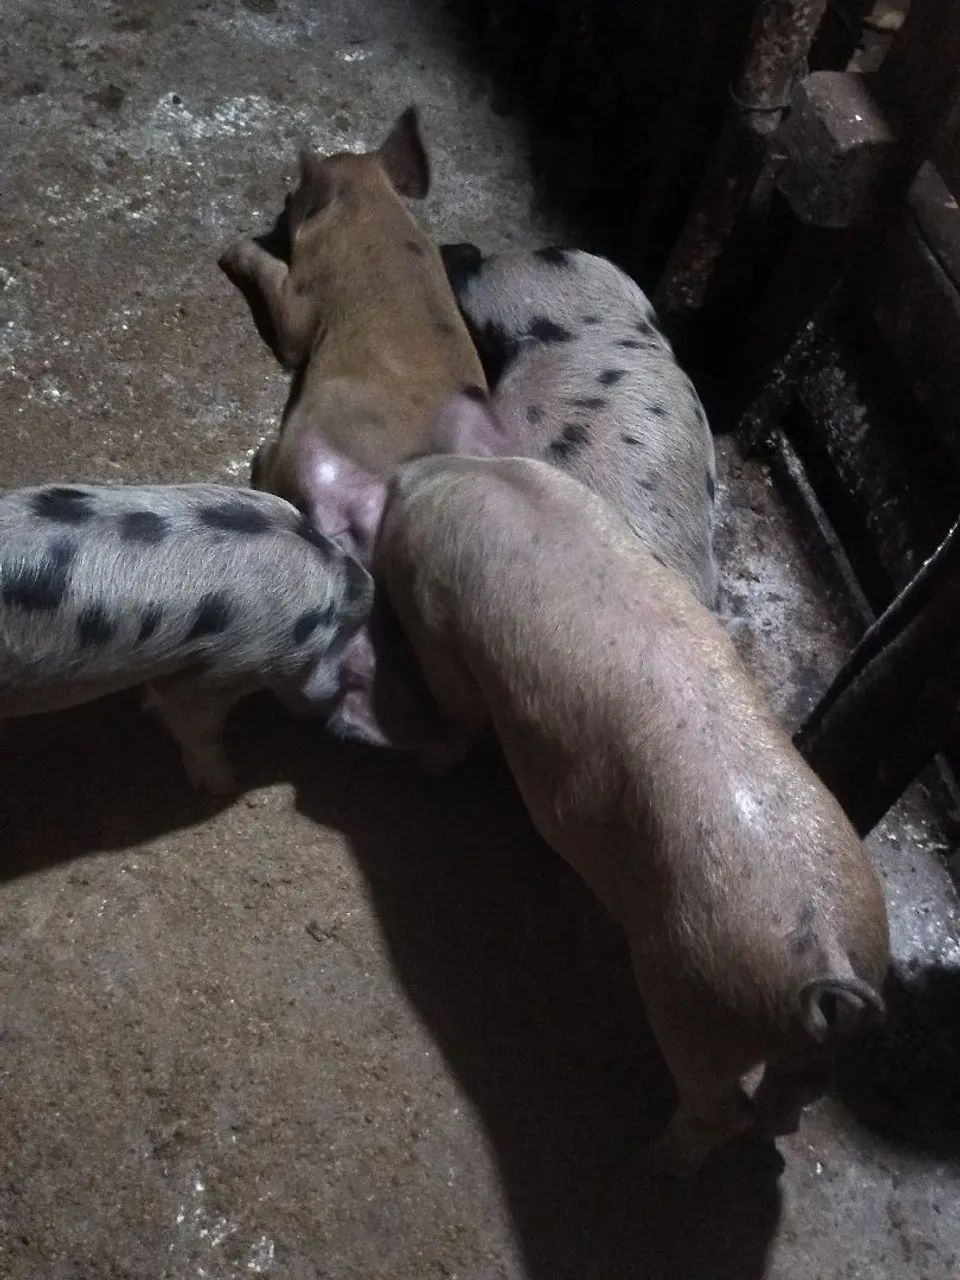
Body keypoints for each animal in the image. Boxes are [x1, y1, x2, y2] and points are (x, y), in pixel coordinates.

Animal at [218, 106, 486, 564]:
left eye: (297, 199)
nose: (284, 201)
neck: (370, 204)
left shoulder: (303, 297)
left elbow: (290, 334)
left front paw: (231, 252)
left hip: (304, 446)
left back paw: (262, 455)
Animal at [374, 408, 889, 1175]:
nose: (400, 472)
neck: (480, 479)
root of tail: (829, 955)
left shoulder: (439, 626)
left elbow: (457, 711)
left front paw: (429, 765)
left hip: (698, 999)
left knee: (718, 1107)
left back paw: (648, 1160)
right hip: (817, 1010)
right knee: (795, 1097)